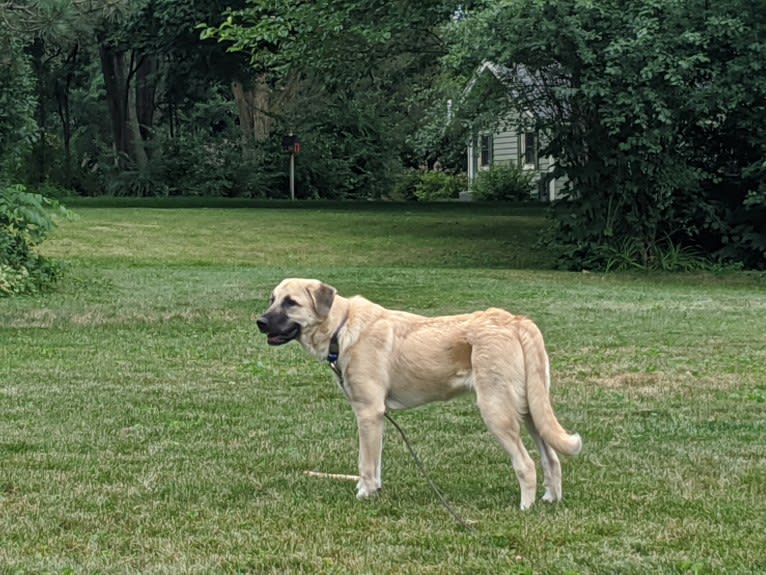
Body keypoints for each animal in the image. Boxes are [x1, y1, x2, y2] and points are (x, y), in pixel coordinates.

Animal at [258, 278, 584, 508]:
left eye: (291, 303)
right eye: (272, 300)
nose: (259, 321)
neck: (341, 327)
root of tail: (516, 320)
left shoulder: (368, 412)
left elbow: (366, 463)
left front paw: (364, 494)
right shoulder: (378, 417)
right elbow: (376, 462)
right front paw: (375, 490)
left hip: (497, 412)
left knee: (526, 465)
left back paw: (524, 508)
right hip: (531, 411)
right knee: (551, 459)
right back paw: (550, 500)